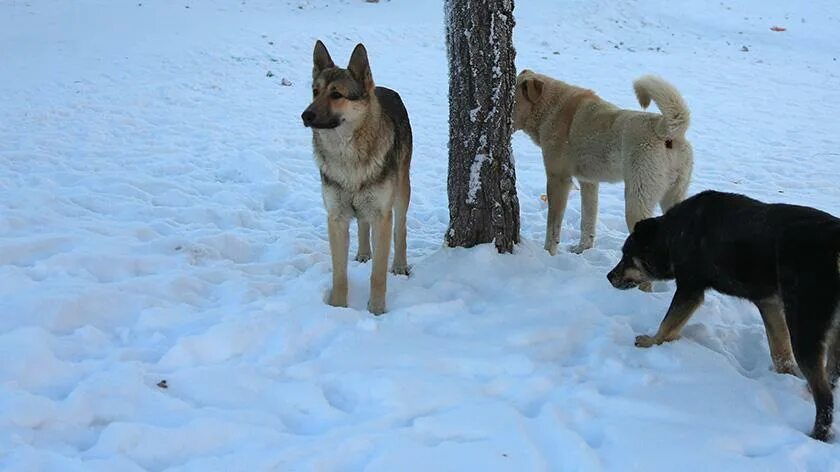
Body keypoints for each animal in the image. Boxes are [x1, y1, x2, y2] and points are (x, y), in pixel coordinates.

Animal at [304, 40, 412, 314]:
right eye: (315, 91)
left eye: (336, 95)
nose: (305, 115)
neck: (348, 158)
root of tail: (383, 88)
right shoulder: (336, 218)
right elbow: (339, 274)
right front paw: (338, 308)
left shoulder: (382, 217)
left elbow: (378, 275)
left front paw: (376, 311)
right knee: (363, 224)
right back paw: (363, 253)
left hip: (401, 192)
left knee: (401, 230)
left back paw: (400, 265)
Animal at [512, 69, 696, 254]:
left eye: (512, 99)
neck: (550, 108)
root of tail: (666, 131)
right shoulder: (589, 182)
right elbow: (587, 220)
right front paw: (582, 249)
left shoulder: (558, 179)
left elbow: (553, 227)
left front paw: (548, 253)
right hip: (673, 196)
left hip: (636, 200)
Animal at [608, 190, 840, 440]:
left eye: (626, 256)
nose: (609, 277)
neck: (671, 235)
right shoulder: (767, 303)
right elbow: (779, 348)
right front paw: (785, 374)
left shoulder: (690, 289)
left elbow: (668, 323)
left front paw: (651, 341)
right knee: (830, 375)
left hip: (804, 325)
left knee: (825, 396)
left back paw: (817, 435)